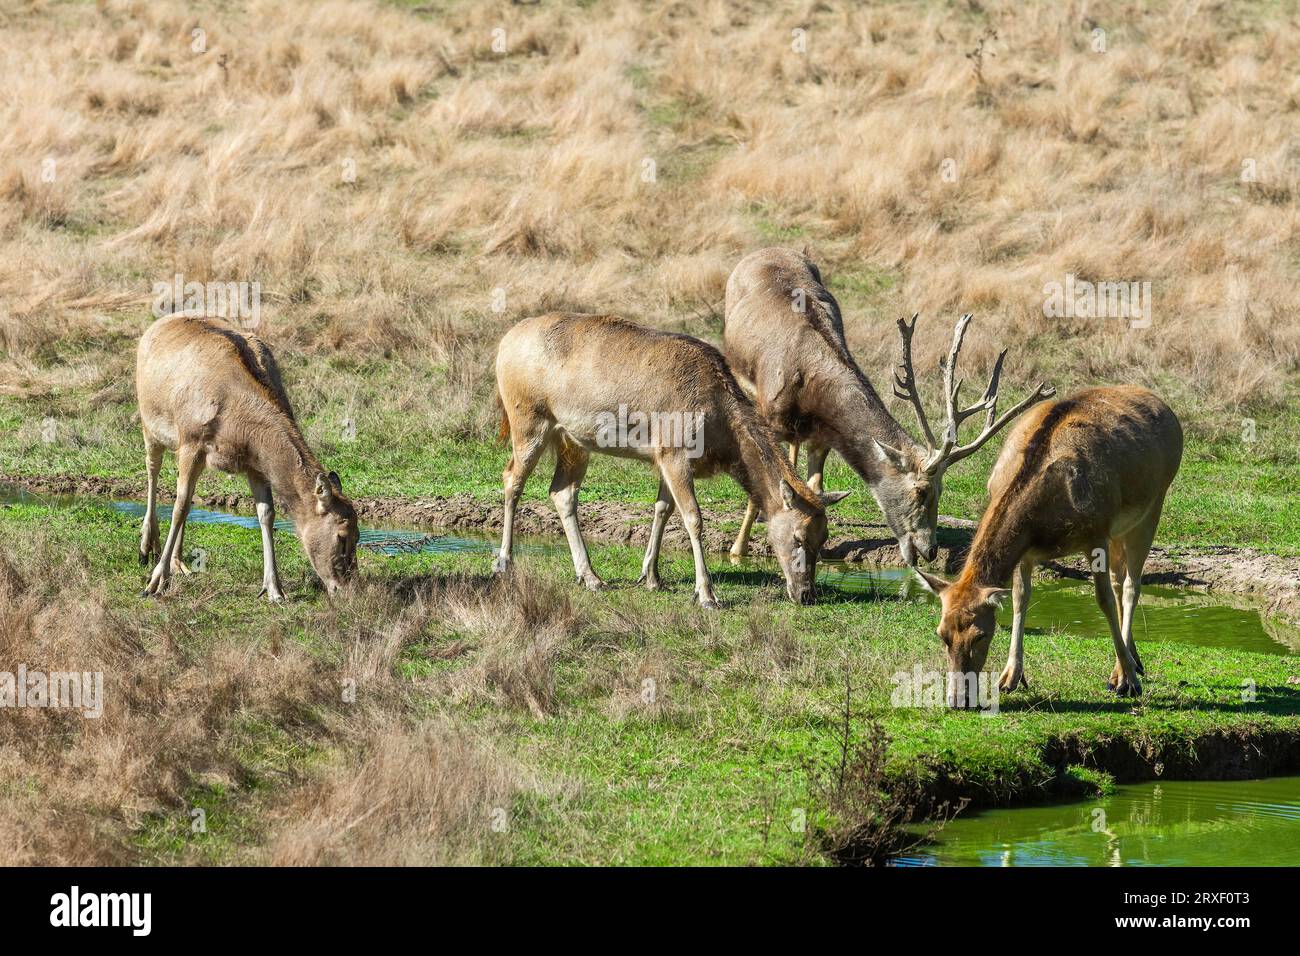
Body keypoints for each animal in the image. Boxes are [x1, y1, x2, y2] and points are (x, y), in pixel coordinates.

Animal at [134, 317, 358, 600]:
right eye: (342, 536)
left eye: (360, 534)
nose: (348, 590)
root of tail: (155, 326)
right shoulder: (191, 441)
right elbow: (179, 506)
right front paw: (155, 582)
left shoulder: (255, 463)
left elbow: (266, 513)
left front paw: (274, 589)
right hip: (150, 424)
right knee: (152, 469)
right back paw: (147, 547)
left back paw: (178, 562)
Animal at [491, 314, 847, 606]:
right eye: (798, 537)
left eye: (825, 537)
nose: (806, 594)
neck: (721, 437)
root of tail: (504, 344)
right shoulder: (675, 451)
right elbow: (693, 518)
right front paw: (706, 595)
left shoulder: (663, 457)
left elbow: (663, 509)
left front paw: (651, 576)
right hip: (528, 419)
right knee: (511, 478)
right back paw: (503, 562)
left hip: (573, 440)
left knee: (562, 492)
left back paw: (591, 577)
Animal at [722, 247, 1055, 567]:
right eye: (921, 491)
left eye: (942, 490)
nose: (931, 550)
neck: (809, 386)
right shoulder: (769, 416)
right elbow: (759, 486)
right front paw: (738, 551)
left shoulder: (823, 436)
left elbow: (815, 488)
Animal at [909, 385, 1185, 707]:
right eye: (942, 634)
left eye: (981, 635)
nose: (958, 699)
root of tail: (1165, 407)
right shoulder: (1028, 551)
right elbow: (1020, 598)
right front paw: (1010, 677)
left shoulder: (1097, 532)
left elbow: (1102, 599)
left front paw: (1128, 681)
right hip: (1121, 527)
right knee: (1120, 580)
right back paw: (1133, 659)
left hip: (1153, 504)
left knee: (1131, 585)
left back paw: (1124, 673)